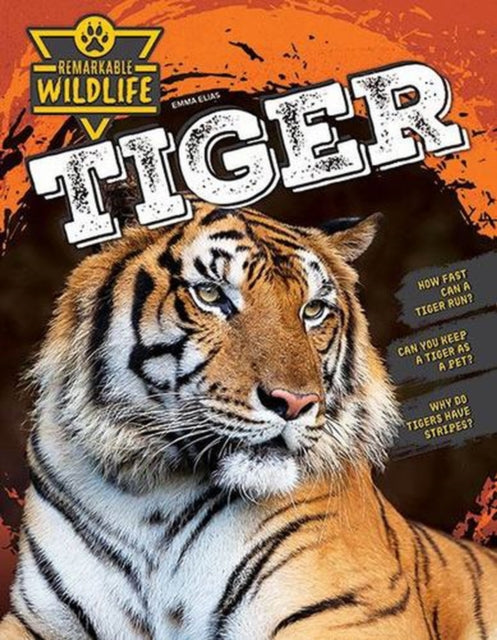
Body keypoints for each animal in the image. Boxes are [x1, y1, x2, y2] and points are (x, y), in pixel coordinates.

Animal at [1, 200, 496, 640]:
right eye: (211, 295)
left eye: (312, 310)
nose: (295, 403)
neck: (153, 497)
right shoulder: (38, 618)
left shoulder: (352, 610)